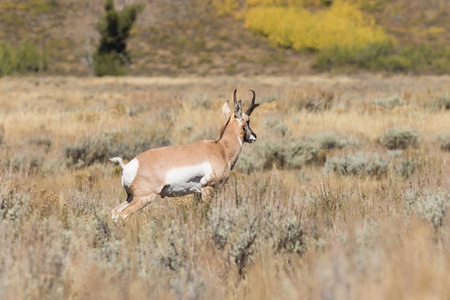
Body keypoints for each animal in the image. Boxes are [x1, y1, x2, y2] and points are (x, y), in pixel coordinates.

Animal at [108, 89, 260, 220]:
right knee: (122, 214)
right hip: (144, 198)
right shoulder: (208, 189)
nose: (254, 136)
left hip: (130, 197)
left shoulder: (198, 193)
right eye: (248, 120)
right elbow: (205, 212)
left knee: (115, 212)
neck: (221, 148)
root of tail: (128, 165)